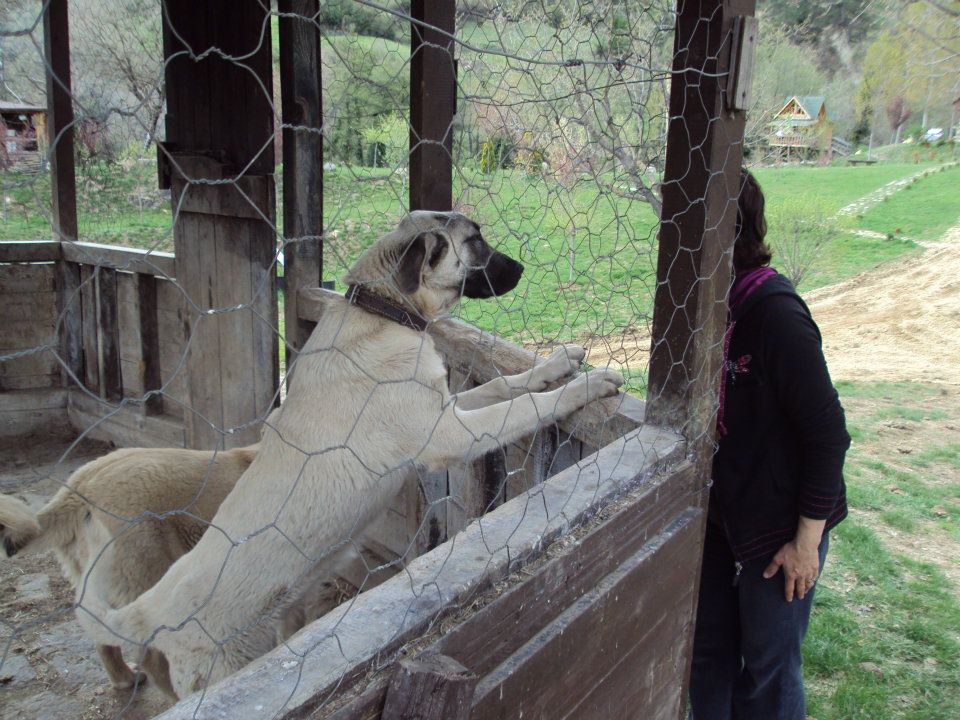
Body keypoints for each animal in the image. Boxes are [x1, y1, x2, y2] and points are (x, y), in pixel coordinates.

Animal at [79, 211, 628, 700]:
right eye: (475, 241)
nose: (521, 268)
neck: (381, 311)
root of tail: (153, 608)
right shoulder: (451, 435)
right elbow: (526, 406)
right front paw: (587, 387)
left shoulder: (447, 409)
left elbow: (504, 384)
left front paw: (557, 364)